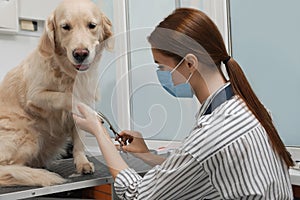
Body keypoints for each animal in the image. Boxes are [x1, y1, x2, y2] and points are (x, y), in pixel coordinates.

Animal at [0, 0, 111, 186]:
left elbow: (79, 139)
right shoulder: (35, 95)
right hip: (30, 135)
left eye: (92, 25)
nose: (81, 54)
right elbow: (65, 97)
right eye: (65, 27)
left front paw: (82, 163)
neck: (69, 73)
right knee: (7, 167)